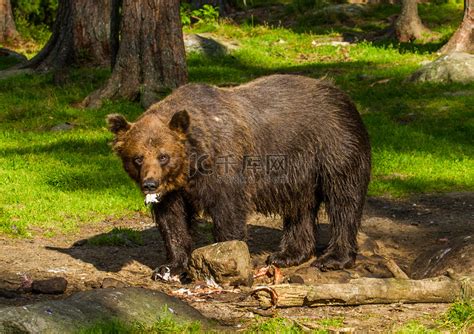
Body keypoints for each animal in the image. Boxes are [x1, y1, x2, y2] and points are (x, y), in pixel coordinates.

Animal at [107, 74, 370, 278]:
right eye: (138, 158)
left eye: (163, 156)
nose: (150, 184)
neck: (194, 163)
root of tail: (343, 95)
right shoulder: (175, 190)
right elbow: (173, 221)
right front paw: (169, 267)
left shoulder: (227, 168)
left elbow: (228, 213)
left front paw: (221, 258)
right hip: (300, 172)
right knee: (299, 208)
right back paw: (287, 254)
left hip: (333, 146)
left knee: (344, 200)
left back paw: (334, 257)